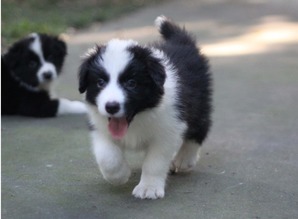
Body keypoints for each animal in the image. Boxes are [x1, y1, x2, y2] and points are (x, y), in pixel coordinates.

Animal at [77, 16, 212, 199]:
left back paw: (184, 159)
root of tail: (182, 42)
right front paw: (119, 175)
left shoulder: (167, 130)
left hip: (198, 103)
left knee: (200, 128)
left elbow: (154, 162)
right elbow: (107, 156)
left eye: (131, 83)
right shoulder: (100, 128)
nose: (111, 107)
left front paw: (149, 188)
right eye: (100, 82)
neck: (139, 118)